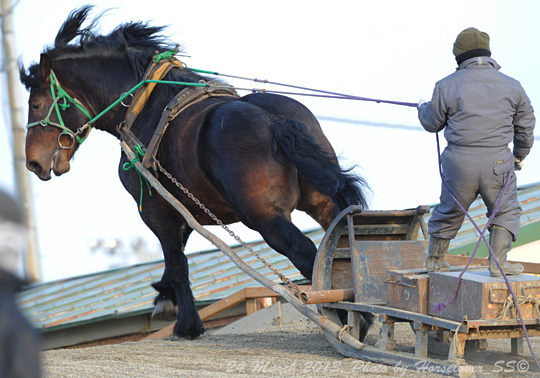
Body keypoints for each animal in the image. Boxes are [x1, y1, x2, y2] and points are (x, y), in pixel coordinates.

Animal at [20, 7, 372, 340]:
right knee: (340, 244)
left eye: (36, 104)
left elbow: (176, 260)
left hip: (265, 217)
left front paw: (186, 323)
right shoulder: (186, 205)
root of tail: (275, 121)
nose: (33, 162)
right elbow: (177, 254)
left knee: (307, 252)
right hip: (321, 203)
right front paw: (165, 298)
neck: (144, 105)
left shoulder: (155, 209)